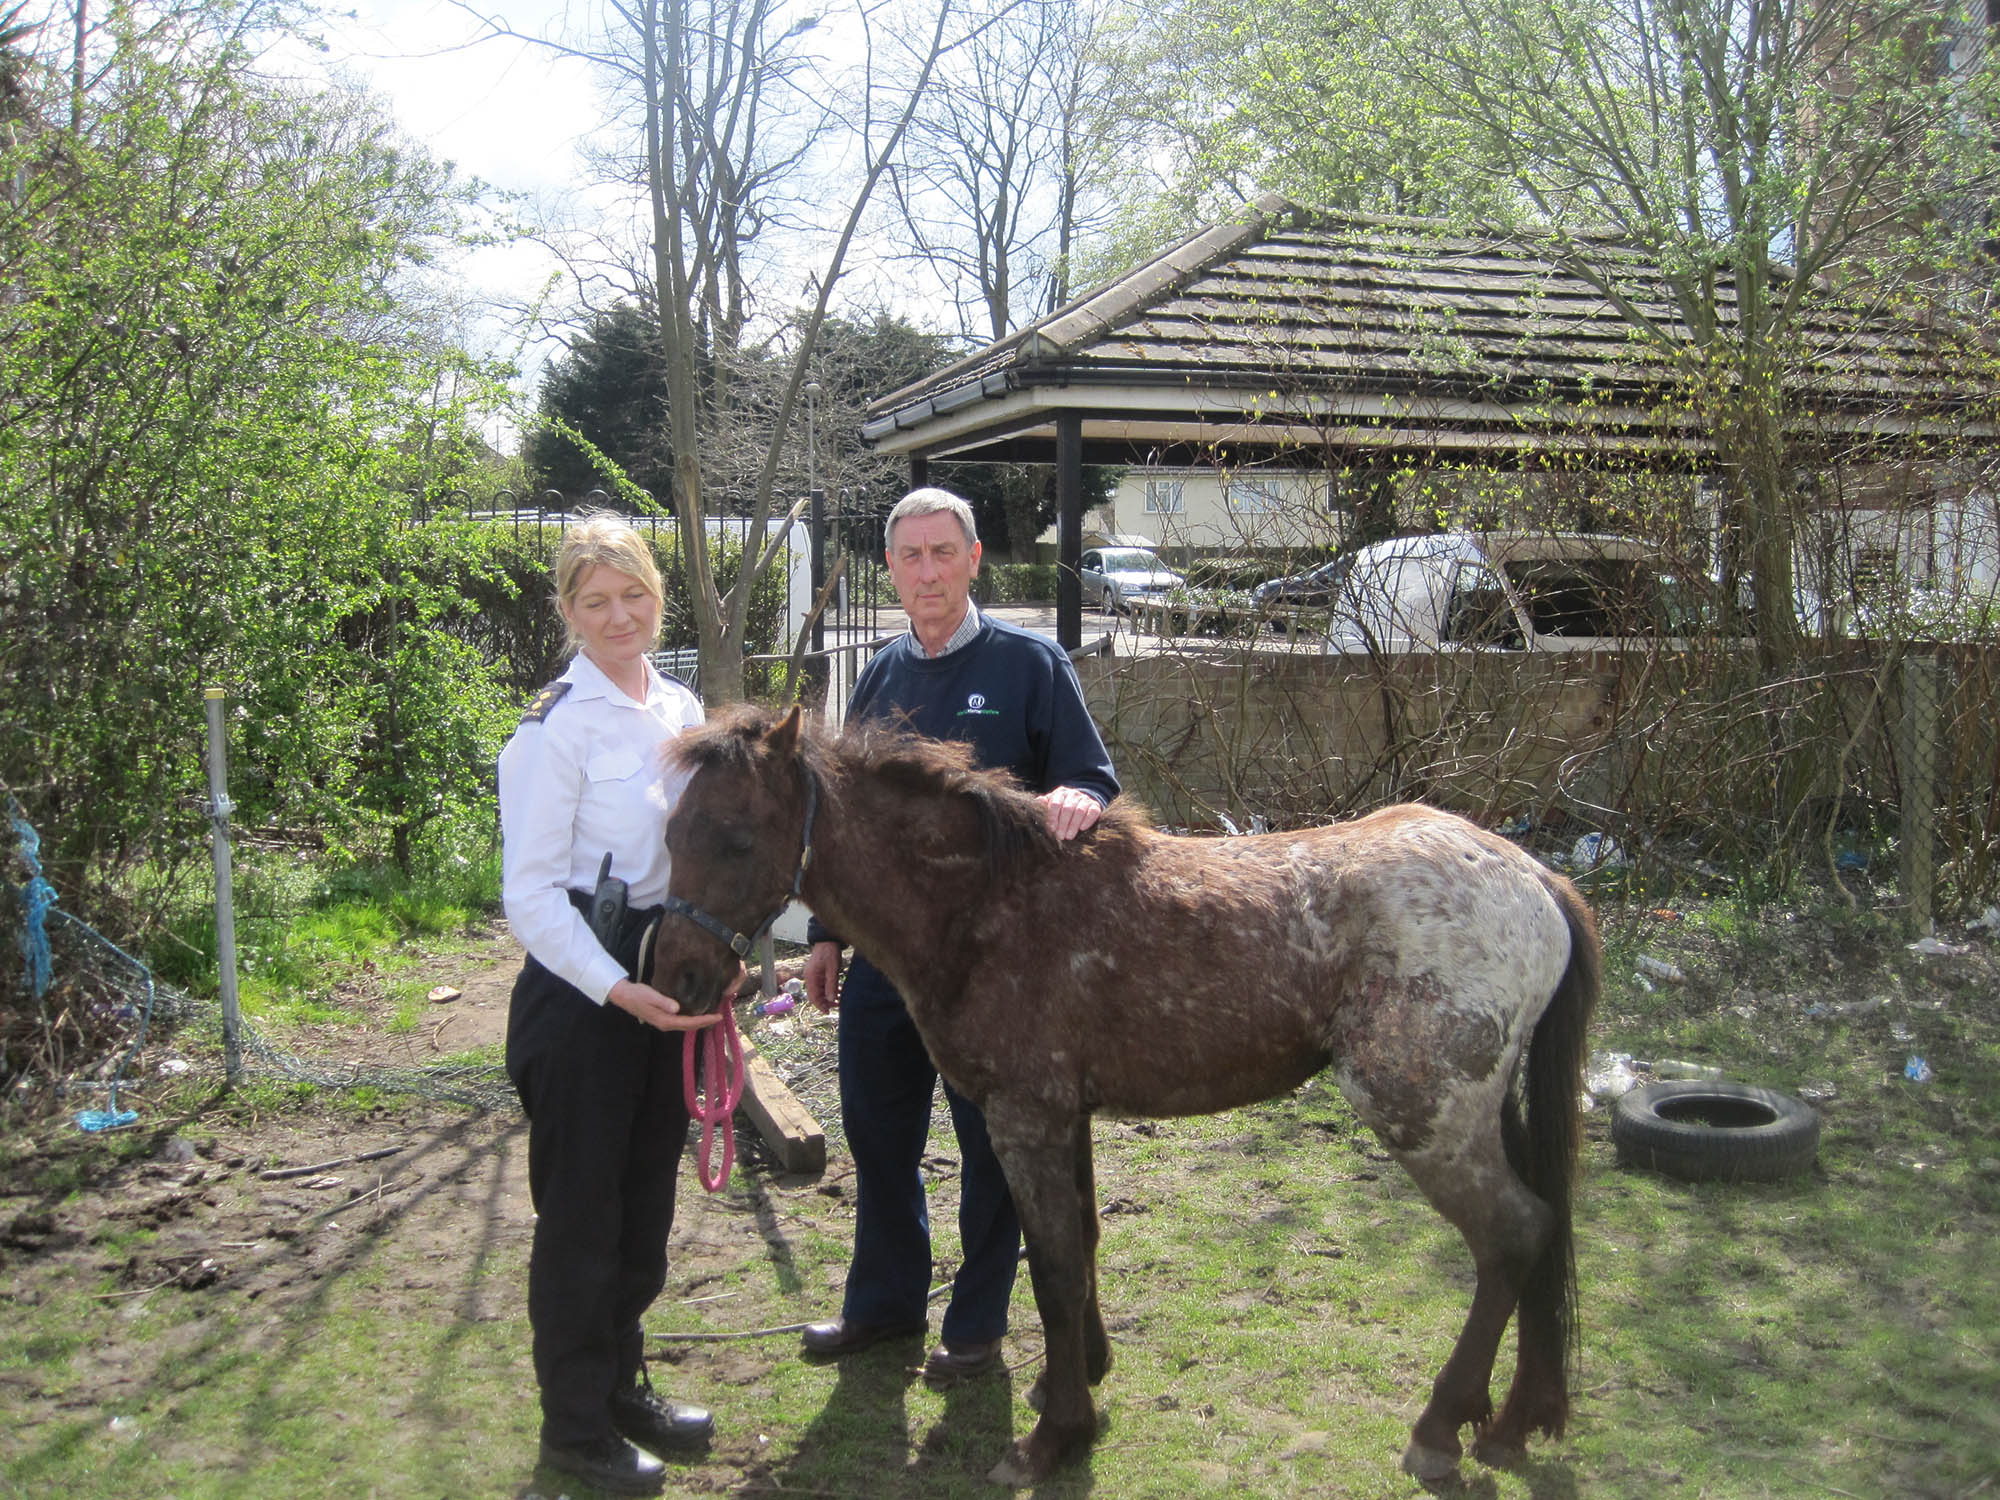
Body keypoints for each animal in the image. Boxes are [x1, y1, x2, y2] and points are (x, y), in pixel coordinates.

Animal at [650, 703, 1598, 1487]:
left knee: (1513, 1234)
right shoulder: (1066, 1117)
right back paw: (1515, 1422)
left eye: (735, 837)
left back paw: (1442, 1429)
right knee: (1544, 1227)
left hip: (1421, 1115)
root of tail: (1533, 878)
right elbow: (1083, 1245)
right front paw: (1069, 1385)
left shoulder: (1025, 1118)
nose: (677, 979)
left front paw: (1054, 1438)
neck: (987, 904)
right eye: (673, 832)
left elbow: (1053, 1266)